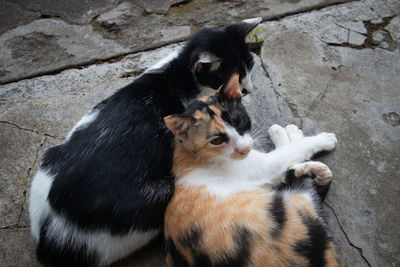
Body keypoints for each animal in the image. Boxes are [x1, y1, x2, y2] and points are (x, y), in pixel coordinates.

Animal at [28, 17, 262, 266]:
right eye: (237, 75)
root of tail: (50, 236)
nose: (249, 89)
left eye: (250, 68)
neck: (177, 75)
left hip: (49, 157)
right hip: (157, 196)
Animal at [164, 74, 340, 267]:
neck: (191, 155)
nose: (244, 148)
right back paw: (315, 170)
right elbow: (289, 152)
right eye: (217, 140)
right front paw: (318, 139)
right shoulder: (263, 166)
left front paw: (285, 133)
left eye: (240, 122)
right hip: (296, 210)